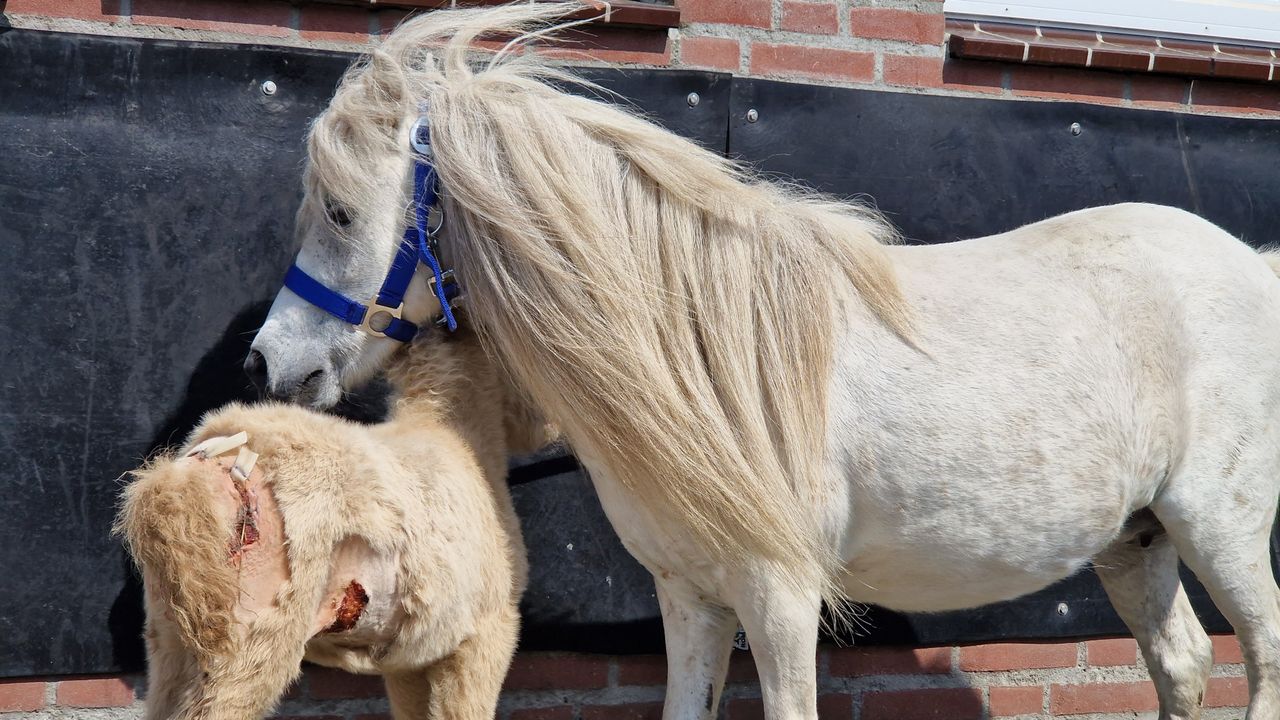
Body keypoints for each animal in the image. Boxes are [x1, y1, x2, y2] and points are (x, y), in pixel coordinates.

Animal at [245, 5, 1280, 718]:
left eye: (340, 211)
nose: (267, 364)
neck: (702, 362)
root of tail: (1251, 265)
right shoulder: (691, 596)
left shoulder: (779, 596)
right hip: (1136, 537)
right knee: (1183, 663)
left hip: (1220, 527)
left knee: (1260, 654)